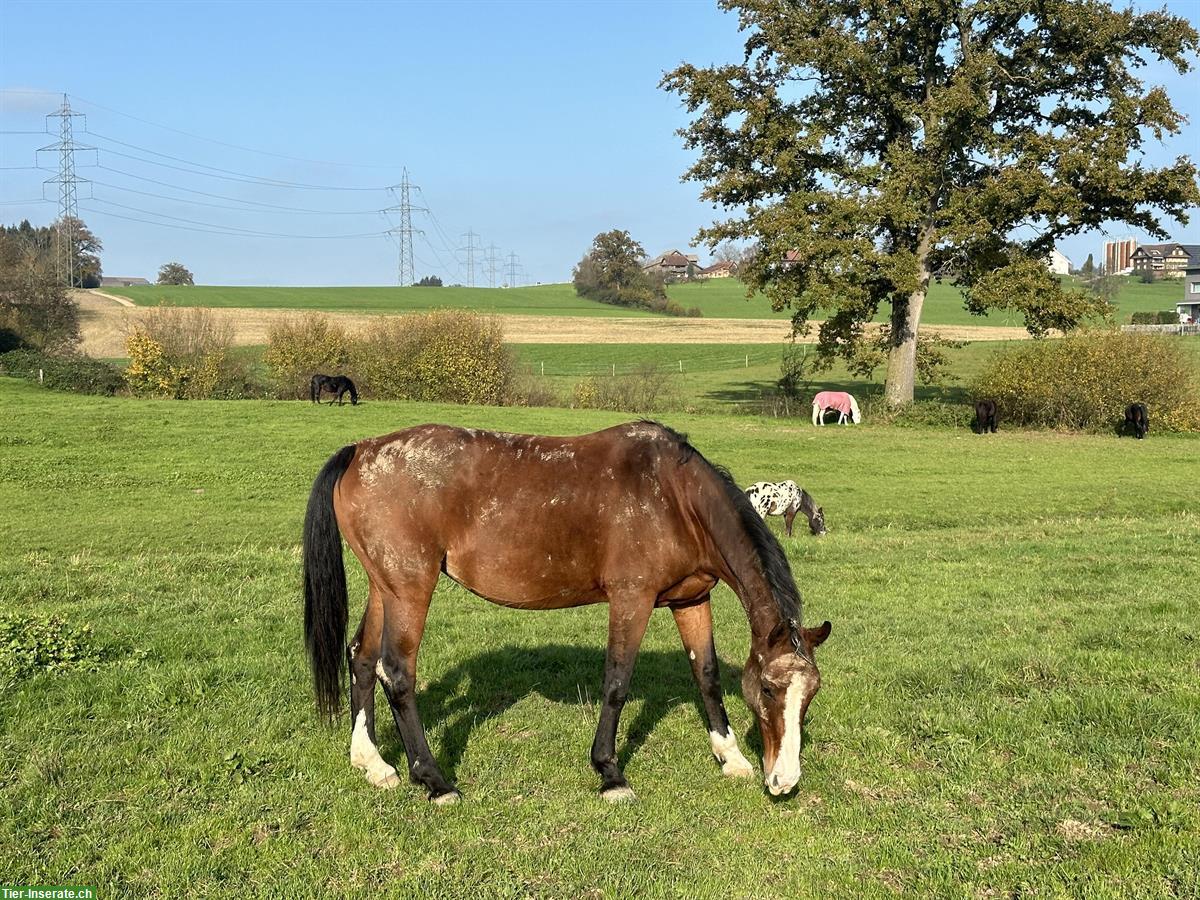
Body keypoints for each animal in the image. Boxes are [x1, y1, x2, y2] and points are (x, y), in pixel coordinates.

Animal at [304, 420, 830, 806]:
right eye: (768, 689)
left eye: (810, 696)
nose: (784, 781)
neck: (675, 497)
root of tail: (361, 450)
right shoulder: (632, 600)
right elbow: (617, 683)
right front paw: (610, 773)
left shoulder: (690, 600)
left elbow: (706, 675)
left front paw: (730, 756)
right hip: (411, 588)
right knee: (397, 672)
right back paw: (434, 780)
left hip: (385, 587)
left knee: (362, 658)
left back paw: (373, 762)